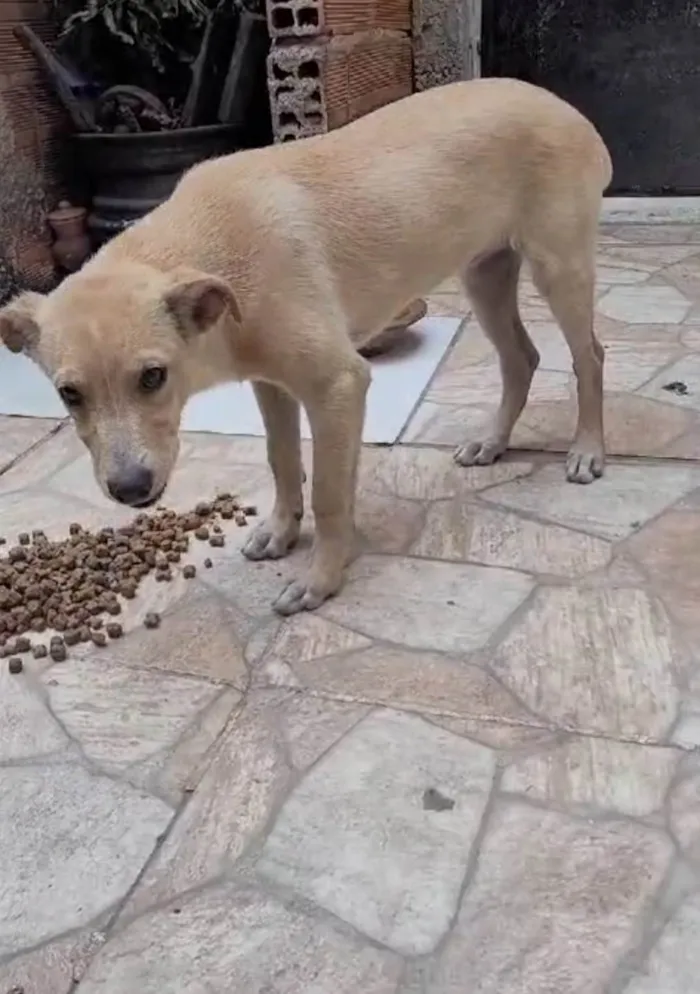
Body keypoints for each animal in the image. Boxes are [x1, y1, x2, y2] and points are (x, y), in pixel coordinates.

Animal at [0, 79, 612, 612]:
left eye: (154, 376)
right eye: (69, 395)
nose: (130, 490)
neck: (211, 247)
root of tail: (564, 106)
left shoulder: (339, 384)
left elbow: (328, 492)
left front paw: (321, 579)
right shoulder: (271, 384)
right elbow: (282, 460)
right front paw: (281, 532)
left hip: (559, 268)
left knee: (591, 356)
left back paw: (587, 449)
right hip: (485, 274)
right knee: (521, 358)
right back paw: (492, 442)